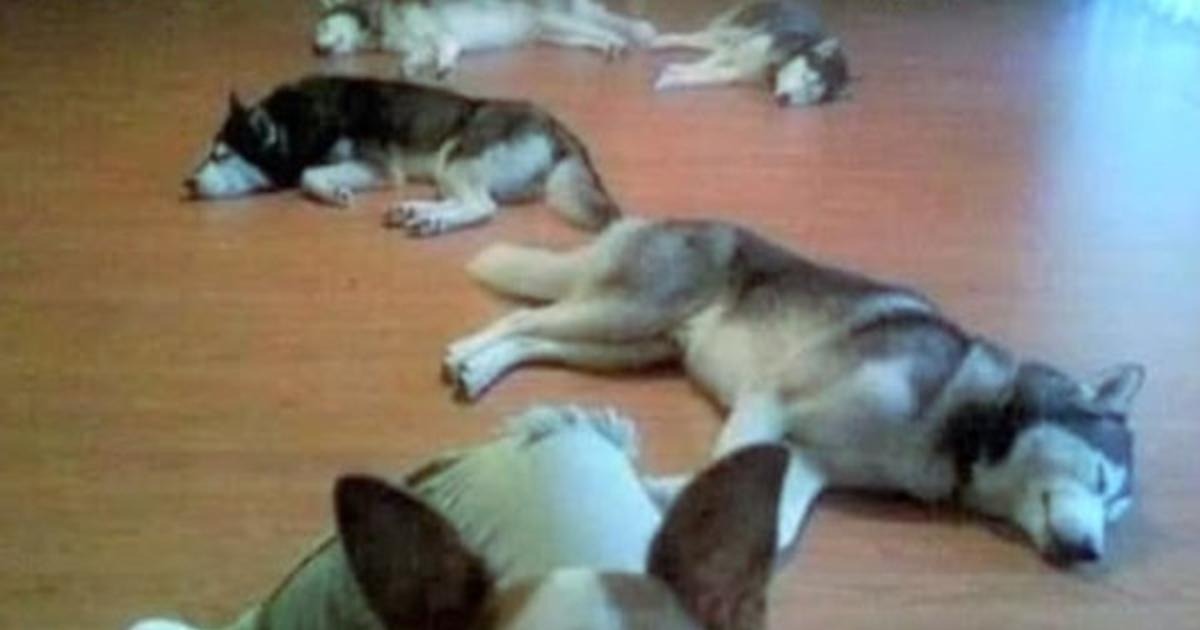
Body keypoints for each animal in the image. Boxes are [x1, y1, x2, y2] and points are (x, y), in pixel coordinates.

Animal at [184, 75, 619, 237]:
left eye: (222, 156)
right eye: (208, 154)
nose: (186, 182)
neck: (298, 122)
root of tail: (555, 126)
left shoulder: (378, 167)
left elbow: (310, 176)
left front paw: (332, 193)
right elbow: (310, 173)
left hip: (456, 158)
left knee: (482, 207)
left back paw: (431, 220)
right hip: (449, 172)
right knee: (467, 202)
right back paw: (416, 212)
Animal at [442, 218, 1146, 566]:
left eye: (1115, 511)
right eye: (1102, 480)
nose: (1091, 555)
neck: (962, 417)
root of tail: (657, 218)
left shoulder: (808, 464)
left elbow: (774, 524)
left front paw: (656, 493)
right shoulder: (770, 396)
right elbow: (731, 464)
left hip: (624, 346)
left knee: (539, 340)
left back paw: (483, 369)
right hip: (623, 315)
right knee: (524, 318)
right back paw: (465, 357)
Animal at [652, 1, 850, 106]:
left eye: (810, 98)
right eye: (805, 77)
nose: (784, 99)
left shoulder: (738, 71)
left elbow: (712, 74)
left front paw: (674, 78)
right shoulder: (740, 48)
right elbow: (706, 64)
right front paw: (677, 69)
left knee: (708, 44)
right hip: (734, 30)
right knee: (695, 37)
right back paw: (658, 41)